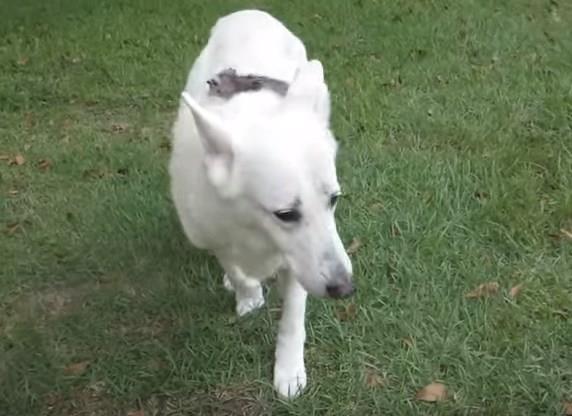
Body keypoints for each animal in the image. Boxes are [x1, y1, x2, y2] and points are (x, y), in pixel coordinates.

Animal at [169, 9, 354, 399]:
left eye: (333, 200)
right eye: (285, 214)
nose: (345, 289)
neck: (255, 229)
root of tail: (249, 12)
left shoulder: (298, 263)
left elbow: (293, 317)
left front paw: (289, 370)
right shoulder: (213, 233)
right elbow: (235, 267)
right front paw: (248, 296)